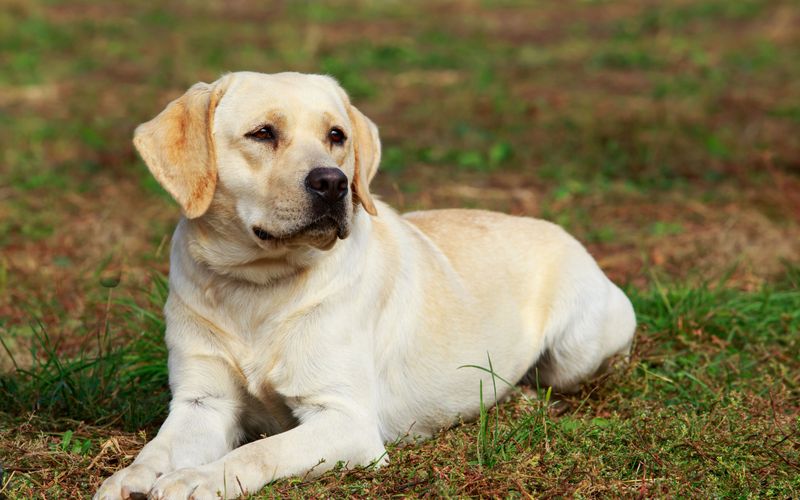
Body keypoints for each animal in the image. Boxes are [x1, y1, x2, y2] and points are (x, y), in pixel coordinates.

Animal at [94, 71, 636, 500]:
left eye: (337, 135)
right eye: (263, 133)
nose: (333, 182)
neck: (258, 284)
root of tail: (564, 233)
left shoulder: (346, 420)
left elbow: (260, 451)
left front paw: (200, 478)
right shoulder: (202, 403)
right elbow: (157, 449)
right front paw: (129, 477)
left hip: (577, 348)